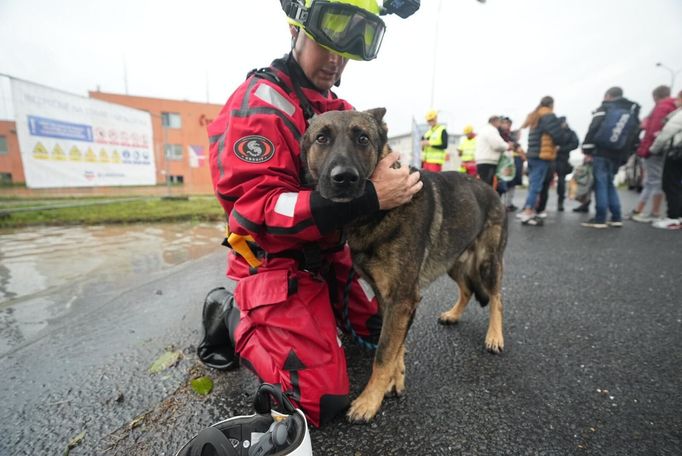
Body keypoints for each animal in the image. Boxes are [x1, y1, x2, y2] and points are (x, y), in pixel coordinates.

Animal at [300, 108, 508, 422]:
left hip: (487, 261)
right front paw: (395, 379)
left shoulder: (402, 298)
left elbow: (384, 351)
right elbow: (395, 345)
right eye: (321, 138)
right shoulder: (389, 299)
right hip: (453, 261)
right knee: (467, 289)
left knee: (495, 298)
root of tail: (491, 188)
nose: (344, 178)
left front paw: (369, 400)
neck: (376, 212)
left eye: (363, 138)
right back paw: (453, 314)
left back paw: (495, 336)